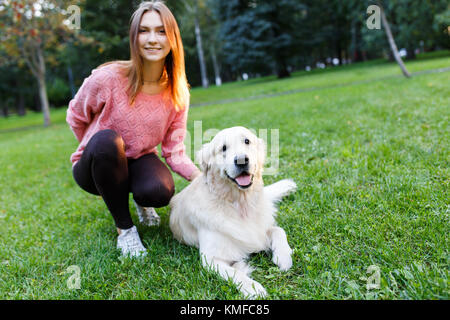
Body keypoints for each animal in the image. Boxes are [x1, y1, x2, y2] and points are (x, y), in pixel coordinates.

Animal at [168, 125, 296, 298]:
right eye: (223, 148)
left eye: (247, 141)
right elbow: (236, 273)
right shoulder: (211, 259)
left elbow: (279, 230)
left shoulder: (260, 230)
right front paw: (254, 289)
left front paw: (283, 256)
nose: (241, 160)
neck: (240, 203)